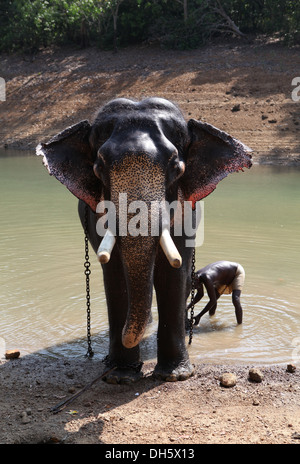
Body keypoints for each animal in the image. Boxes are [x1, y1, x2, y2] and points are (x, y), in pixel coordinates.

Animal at [37, 96, 253, 382]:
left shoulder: (185, 216)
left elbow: (173, 273)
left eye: (176, 167)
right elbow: (115, 274)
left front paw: (174, 375)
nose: (126, 338)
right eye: (99, 167)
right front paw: (120, 375)